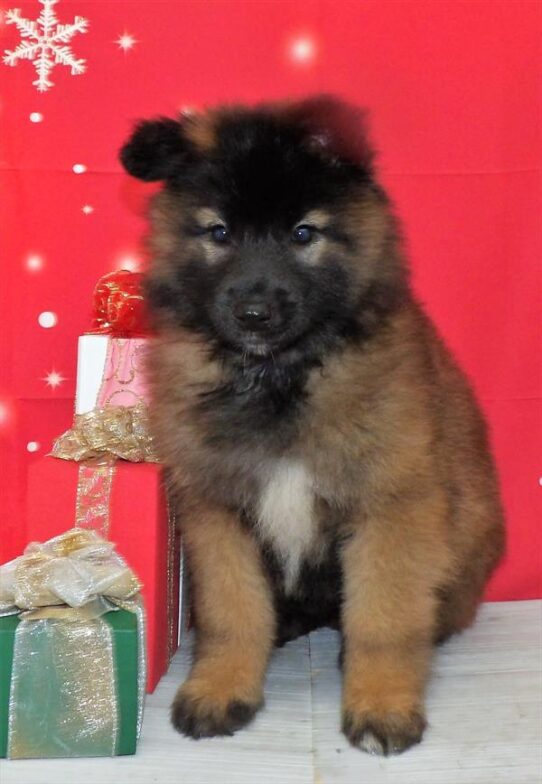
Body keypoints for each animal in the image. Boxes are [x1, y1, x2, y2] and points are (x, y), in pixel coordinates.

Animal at [121, 96, 508, 752]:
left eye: (304, 233)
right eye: (219, 232)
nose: (253, 313)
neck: (278, 377)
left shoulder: (392, 508)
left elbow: (383, 619)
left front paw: (381, 702)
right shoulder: (218, 512)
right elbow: (231, 612)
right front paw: (222, 686)